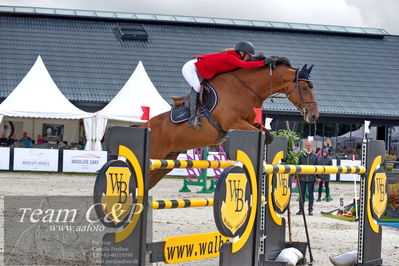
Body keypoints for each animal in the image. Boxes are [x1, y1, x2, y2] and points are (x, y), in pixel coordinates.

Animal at [146, 57, 318, 188]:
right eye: (304, 88)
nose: (314, 115)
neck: (246, 88)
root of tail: (145, 126)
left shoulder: (252, 121)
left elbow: (268, 136)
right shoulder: (233, 123)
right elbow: (259, 134)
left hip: (165, 163)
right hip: (156, 156)